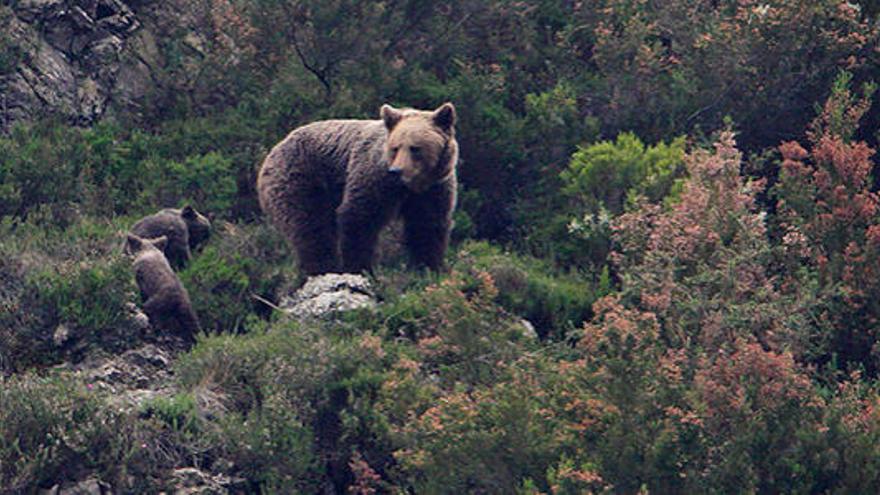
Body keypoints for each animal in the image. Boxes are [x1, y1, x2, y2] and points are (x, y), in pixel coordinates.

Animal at [256, 102, 458, 278]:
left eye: (415, 148)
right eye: (395, 148)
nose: (396, 171)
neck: (409, 186)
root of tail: (273, 150)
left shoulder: (433, 188)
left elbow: (427, 224)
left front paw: (428, 267)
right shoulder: (374, 175)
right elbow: (359, 217)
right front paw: (360, 268)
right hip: (300, 179)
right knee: (311, 227)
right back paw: (321, 269)